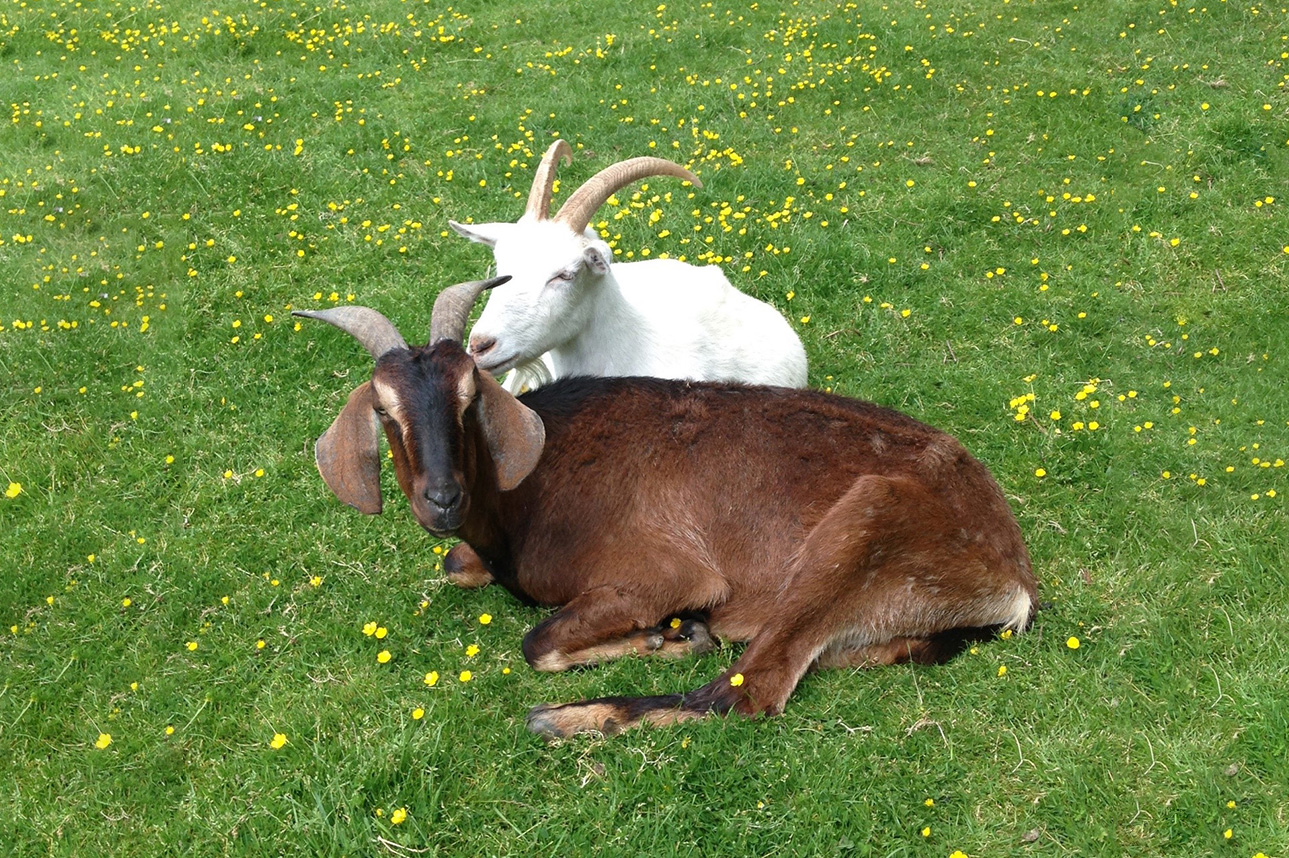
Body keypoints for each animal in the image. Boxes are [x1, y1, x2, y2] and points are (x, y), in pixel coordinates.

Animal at [295, 280, 1036, 736]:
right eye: (383, 409)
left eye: (469, 395)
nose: (442, 498)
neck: (526, 496)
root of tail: (1014, 576)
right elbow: (459, 565)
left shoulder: (664, 574)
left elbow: (537, 641)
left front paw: (664, 638)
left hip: (863, 526)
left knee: (746, 694)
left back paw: (569, 716)